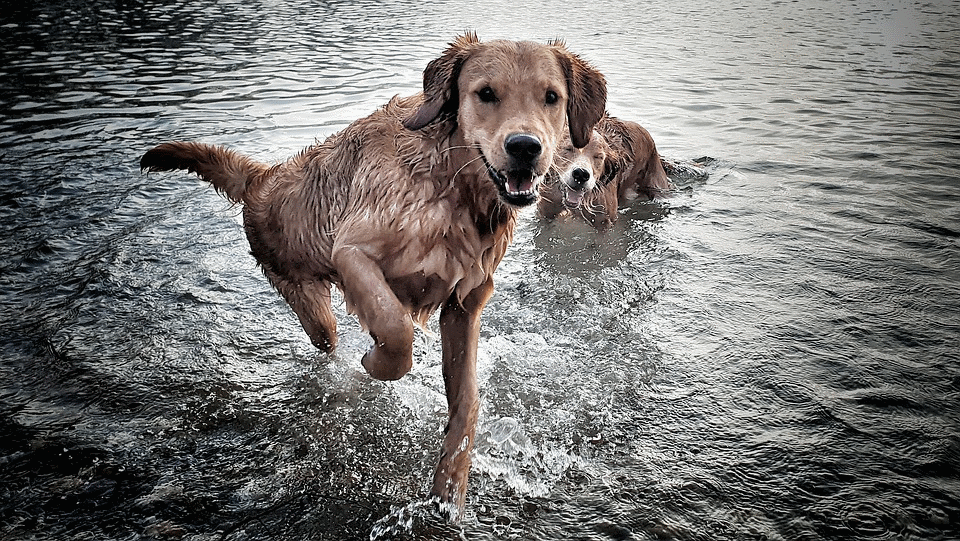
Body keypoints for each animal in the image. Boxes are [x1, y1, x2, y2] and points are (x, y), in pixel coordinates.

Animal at [139, 32, 604, 520]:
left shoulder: (464, 303)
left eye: (551, 97)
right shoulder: (352, 253)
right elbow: (396, 330)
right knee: (328, 338)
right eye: (486, 94)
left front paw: (449, 490)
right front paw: (374, 363)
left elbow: (467, 404)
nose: (525, 147)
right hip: (310, 305)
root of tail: (262, 180)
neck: (452, 189)